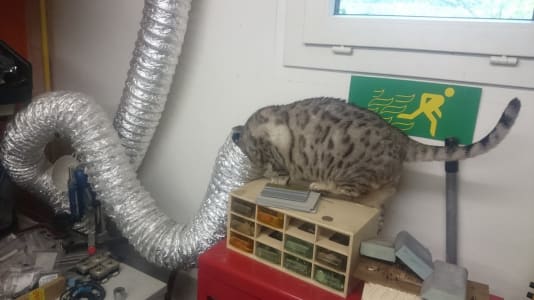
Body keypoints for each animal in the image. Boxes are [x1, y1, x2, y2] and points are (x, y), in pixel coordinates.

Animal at [239, 97, 524, 200]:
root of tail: (400, 137)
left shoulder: (273, 149)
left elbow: (277, 170)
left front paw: (272, 176)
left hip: (350, 170)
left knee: (353, 191)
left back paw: (322, 186)